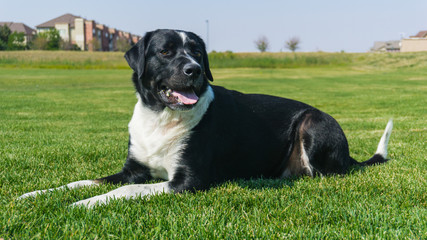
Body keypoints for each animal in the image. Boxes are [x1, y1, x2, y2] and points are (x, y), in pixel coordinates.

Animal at [19, 29, 394, 207]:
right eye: (165, 51)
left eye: (198, 52)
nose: (194, 70)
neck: (162, 118)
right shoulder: (133, 169)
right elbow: (83, 181)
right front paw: (37, 193)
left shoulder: (186, 182)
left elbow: (125, 191)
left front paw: (86, 203)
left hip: (313, 124)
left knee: (323, 173)